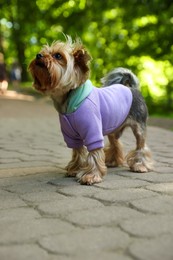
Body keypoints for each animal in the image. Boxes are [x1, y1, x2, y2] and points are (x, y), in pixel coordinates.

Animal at [29, 35, 153, 185]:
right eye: (43, 51)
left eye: (58, 55)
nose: (38, 55)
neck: (68, 102)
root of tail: (132, 88)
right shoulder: (71, 135)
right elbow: (77, 151)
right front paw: (75, 169)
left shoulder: (93, 131)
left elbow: (93, 153)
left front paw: (91, 175)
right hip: (114, 127)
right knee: (116, 143)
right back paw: (113, 161)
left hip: (139, 126)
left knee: (141, 146)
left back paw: (140, 165)